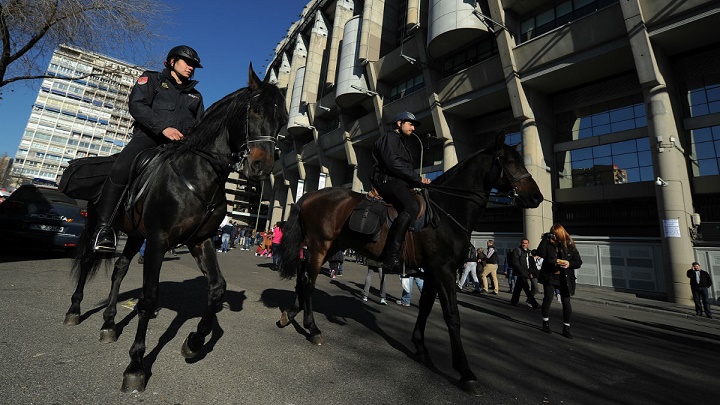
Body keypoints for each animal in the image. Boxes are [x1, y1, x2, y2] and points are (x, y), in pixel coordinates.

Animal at [62, 65, 286, 392]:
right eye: (255, 110)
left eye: (282, 119)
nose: (262, 166)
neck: (199, 173)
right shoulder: (158, 241)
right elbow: (149, 298)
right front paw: (136, 365)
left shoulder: (201, 240)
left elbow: (216, 288)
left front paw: (194, 341)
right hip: (100, 226)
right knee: (90, 259)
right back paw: (74, 311)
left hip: (134, 235)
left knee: (119, 269)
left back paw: (109, 323)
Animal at [278, 133, 544, 392]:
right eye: (509, 161)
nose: (537, 196)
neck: (447, 211)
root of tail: (310, 195)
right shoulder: (444, 270)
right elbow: (452, 316)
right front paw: (465, 372)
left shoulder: (433, 272)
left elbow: (425, 308)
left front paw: (421, 349)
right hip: (320, 245)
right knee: (308, 280)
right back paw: (312, 328)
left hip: (329, 246)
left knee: (302, 275)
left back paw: (289, 313)